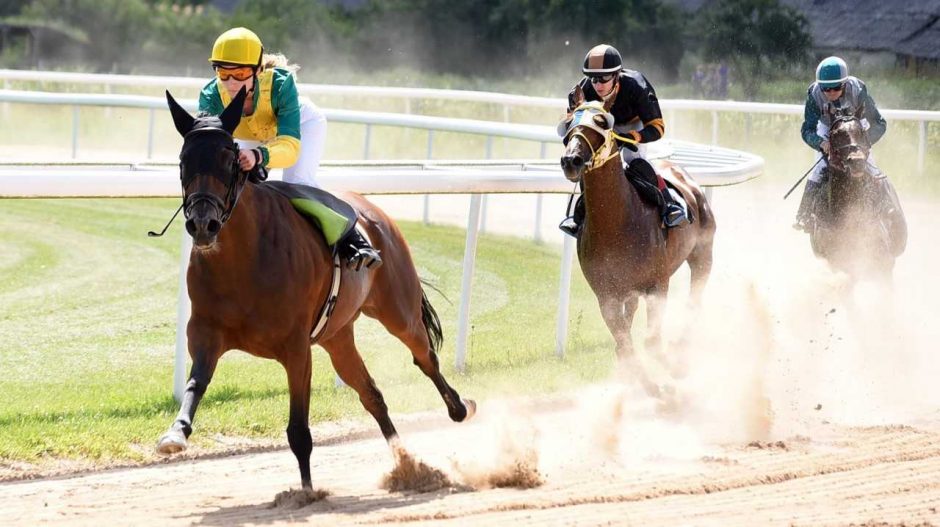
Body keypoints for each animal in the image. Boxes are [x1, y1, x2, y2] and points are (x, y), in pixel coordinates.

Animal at [159, 89, 478, 490]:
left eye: (229, 159)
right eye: (184, 160)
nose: (203, 224)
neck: (243, 261)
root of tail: (374, 210)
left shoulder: (296, 348)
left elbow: (299, 432)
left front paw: (308, 493)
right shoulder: (206, 332)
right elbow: (195, 383)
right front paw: (175, 433)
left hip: (398, 310)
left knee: (425, 357)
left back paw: (460, 408)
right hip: (337, 336)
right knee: (372, 394)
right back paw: (406, 465)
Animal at [560, 97, 720, 398]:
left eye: (601, 122)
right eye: (569, 122)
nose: (570, 160)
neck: (616, 223)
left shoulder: (658, 285)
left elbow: (651, 341)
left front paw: (669, 369)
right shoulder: (606, 294)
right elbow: (624, 342)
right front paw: (642, 381)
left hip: (703, 254)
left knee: (694, 301)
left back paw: (682, 352)